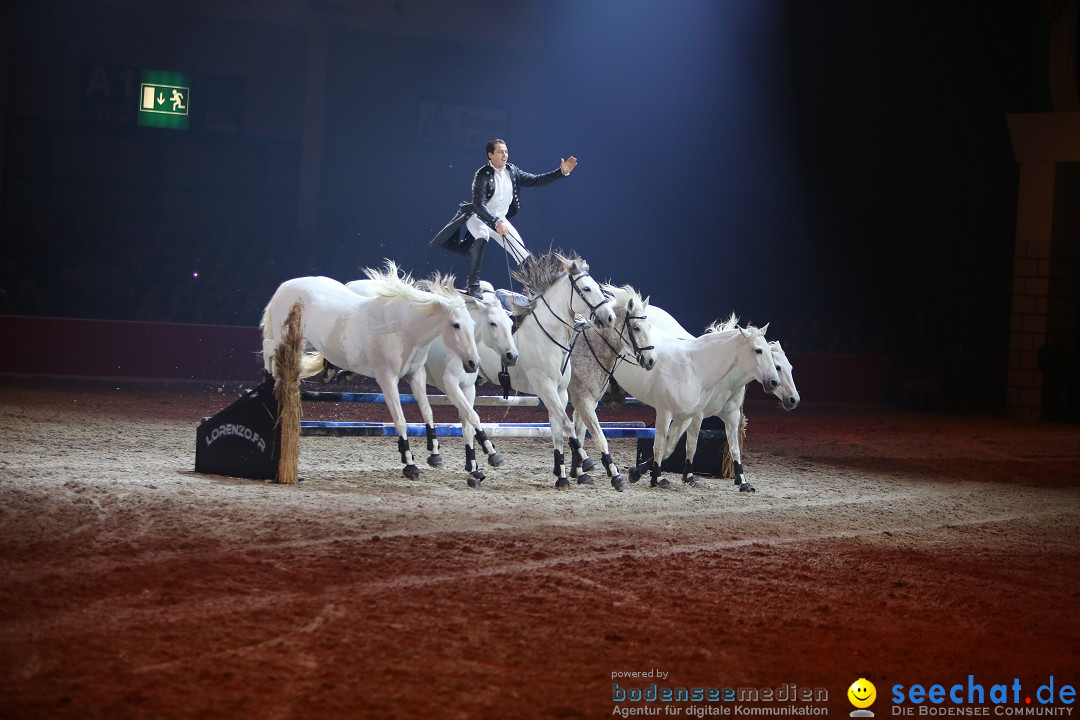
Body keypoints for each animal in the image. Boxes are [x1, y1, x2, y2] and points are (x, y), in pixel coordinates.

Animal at [259, 263, 479, 479]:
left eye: (473, 324)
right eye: (456, 325)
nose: (473, 363)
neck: (404, 329)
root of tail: (285, 286)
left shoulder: (416, 375)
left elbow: (427, 412)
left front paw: (435, 454)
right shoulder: (387, 379)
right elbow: (400, 420)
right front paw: (410, 464)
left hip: (306, 342)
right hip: (286, 340)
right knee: (267, 347)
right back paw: (269, 381)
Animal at [345, 276, 518, 490]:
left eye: (510, 323)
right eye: (493, 323)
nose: (512, 356)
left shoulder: (468, 388)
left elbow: (467, 424)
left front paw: (473, 469)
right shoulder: (450, 386)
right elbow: (473, 417)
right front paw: (492, 453)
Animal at [475, 250, 617, 492]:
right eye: (586, 289)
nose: (609, 317)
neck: (547, 336)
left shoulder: (559, 392)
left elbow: (558, 431)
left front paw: (562, 477)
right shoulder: (547, 389)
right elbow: (568, 426)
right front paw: (588, 463)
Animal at [565, 284, 656, 492]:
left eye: (649, 327)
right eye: (636, 327)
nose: (651, 360)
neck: (589, 349)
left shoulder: (586, 402)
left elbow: (579, 433)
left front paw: (580, 472)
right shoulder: (583, 400)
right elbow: (598, 436)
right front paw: (614, 475)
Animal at [613, 310, 781, 490]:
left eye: (769, 352)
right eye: (758, 350)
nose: (774, 382)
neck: (693, 368)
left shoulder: (688, 416)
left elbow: (678, 447)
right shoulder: (665, 413)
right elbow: (659, 445)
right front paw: (656, 478)